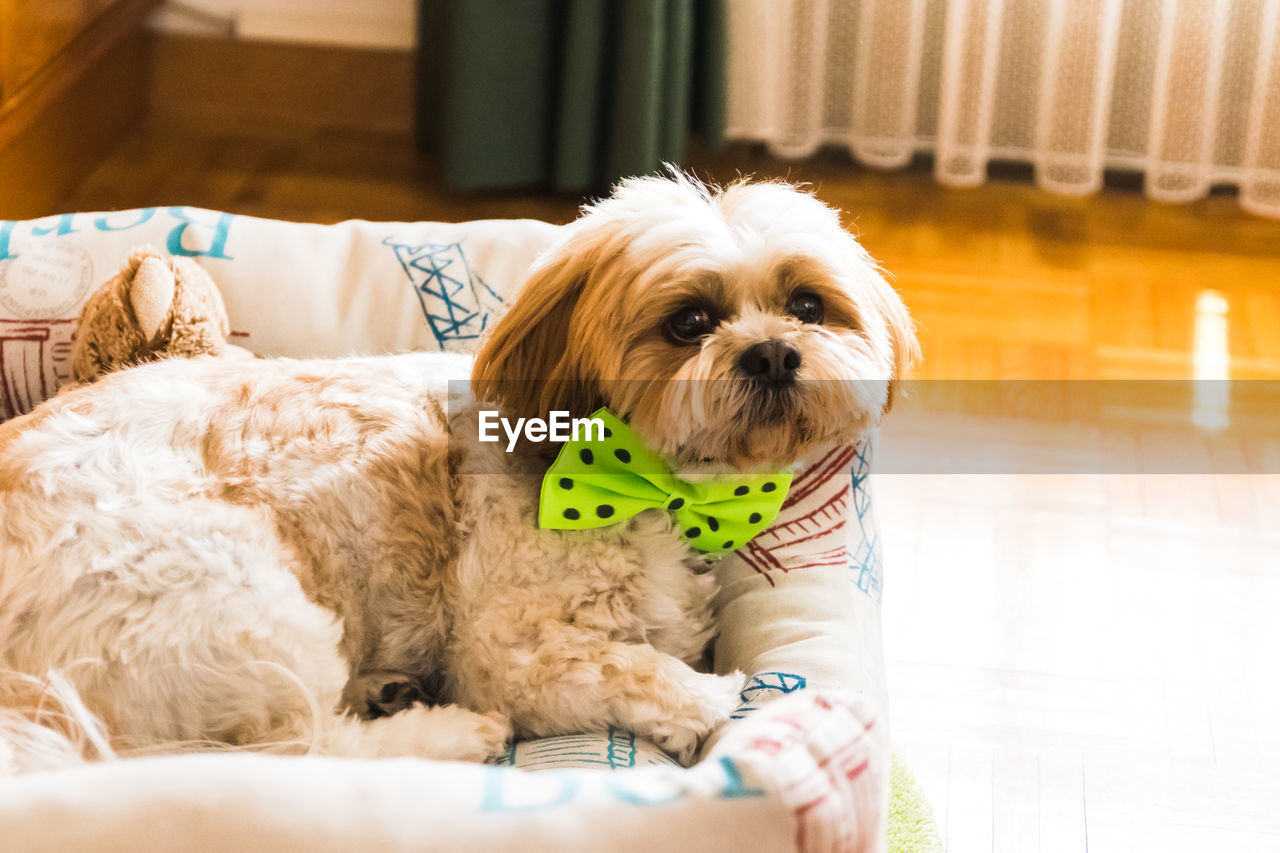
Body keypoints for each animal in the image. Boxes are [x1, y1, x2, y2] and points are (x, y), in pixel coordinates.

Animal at [0, 172, 921, 768]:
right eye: (689, 322)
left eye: (808, 305)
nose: (773, 351)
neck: (635, 479)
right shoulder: (507, 652)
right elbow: (639, 670)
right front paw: (704, 706)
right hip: (239, 595)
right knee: (301, 745)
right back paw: (447, 734)